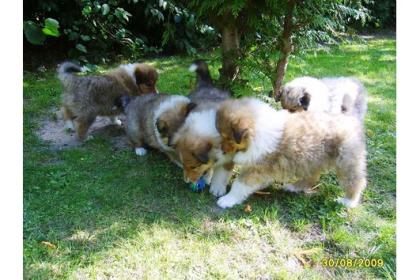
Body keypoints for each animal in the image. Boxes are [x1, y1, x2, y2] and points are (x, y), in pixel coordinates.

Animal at [217, 97, 368, 209]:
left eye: (228, 138)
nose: (222, 150)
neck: (257, 131)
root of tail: (352, 119)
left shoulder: (258, 169)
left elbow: (239, 184)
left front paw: (227, 200)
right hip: (312, 160)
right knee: (311, 178)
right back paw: (294, 187)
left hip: (346, 160)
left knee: (356, 181)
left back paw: (349, 201)